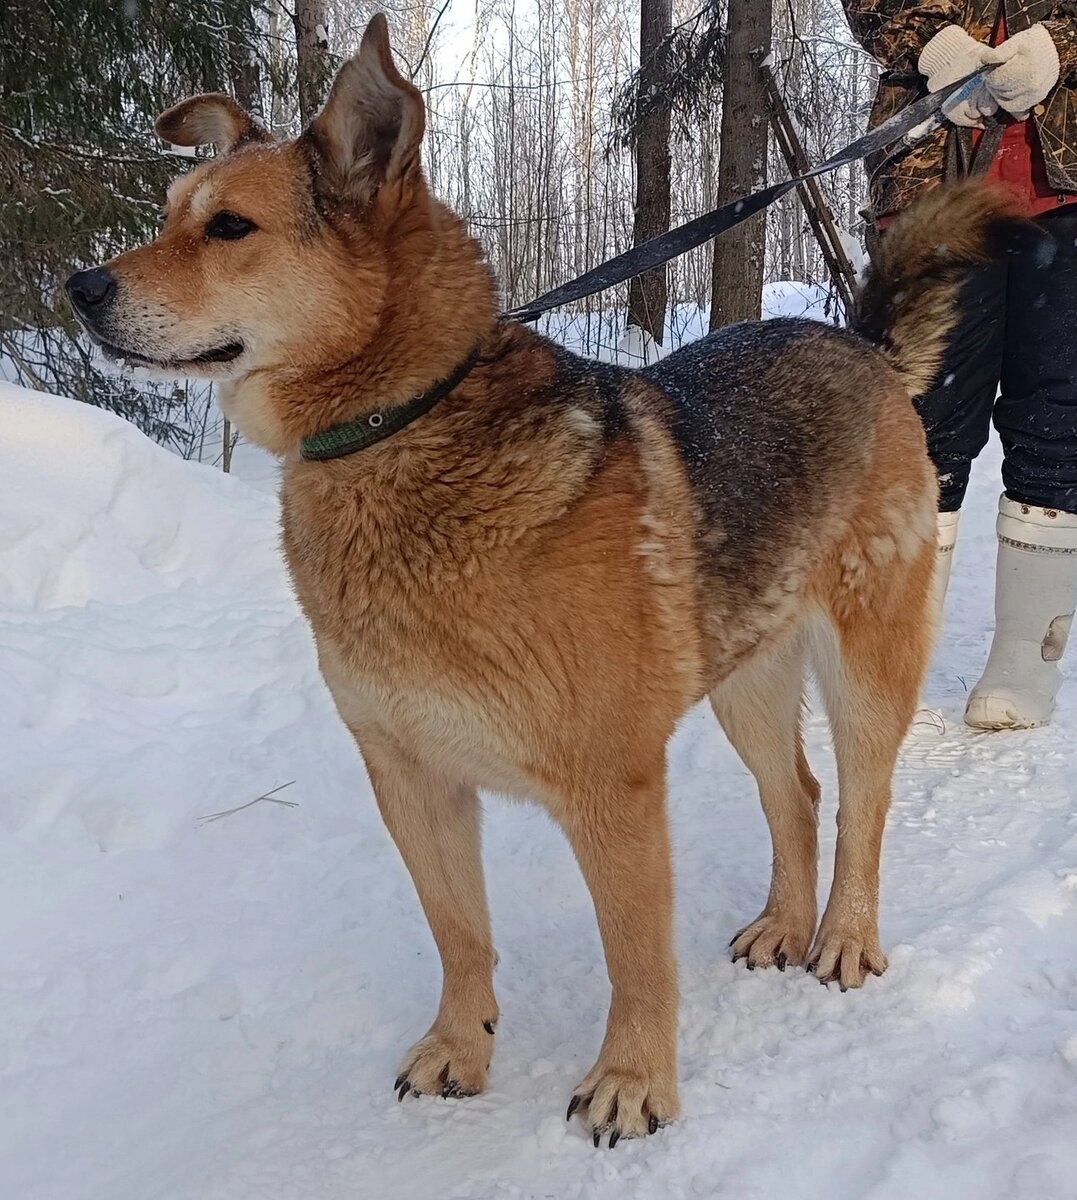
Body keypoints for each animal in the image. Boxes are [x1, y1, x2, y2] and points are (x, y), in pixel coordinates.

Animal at [69, 16, 1041, 1142]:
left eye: (228, 228)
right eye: (166, 217)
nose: (79, 289)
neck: (402, 430)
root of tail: (862, 346)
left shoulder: (611, 789)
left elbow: (636, 959)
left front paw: (632, 1082)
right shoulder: (411, 776)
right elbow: (459, 934)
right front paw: (460, 1048)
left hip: (864, 673)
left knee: (859, 808)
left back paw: (842, 936)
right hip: (744, 679)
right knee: (794, 795)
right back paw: (782, 924)